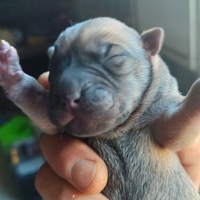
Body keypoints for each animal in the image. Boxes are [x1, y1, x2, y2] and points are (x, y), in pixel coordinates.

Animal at [0, 18, 200, 199]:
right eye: (53, 66)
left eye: (114, 58)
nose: (67, 93)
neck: (115, 133)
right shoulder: (52, 117)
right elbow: (35, 100)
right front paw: (10, 71)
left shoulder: (162, 119)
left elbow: (177, 127)